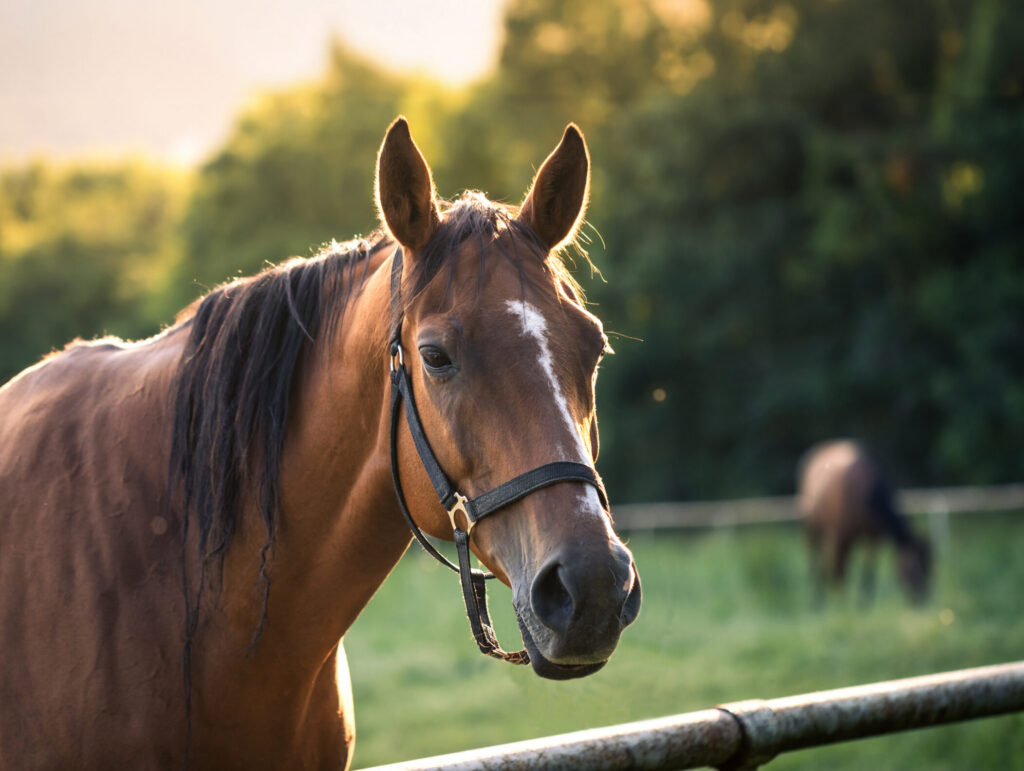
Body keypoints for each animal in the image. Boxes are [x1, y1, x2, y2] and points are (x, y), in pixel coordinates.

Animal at [798, 439, 931, 605]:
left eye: (930, 569)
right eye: (914, 569)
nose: (923, 600)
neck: (865, 492)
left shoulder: (874, 538)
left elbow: (869, 569)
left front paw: (865, 601)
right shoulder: (842, 536)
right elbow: (840, 569)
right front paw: (842, 603)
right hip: (813, 529)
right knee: (815, 561)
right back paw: (816, 599)